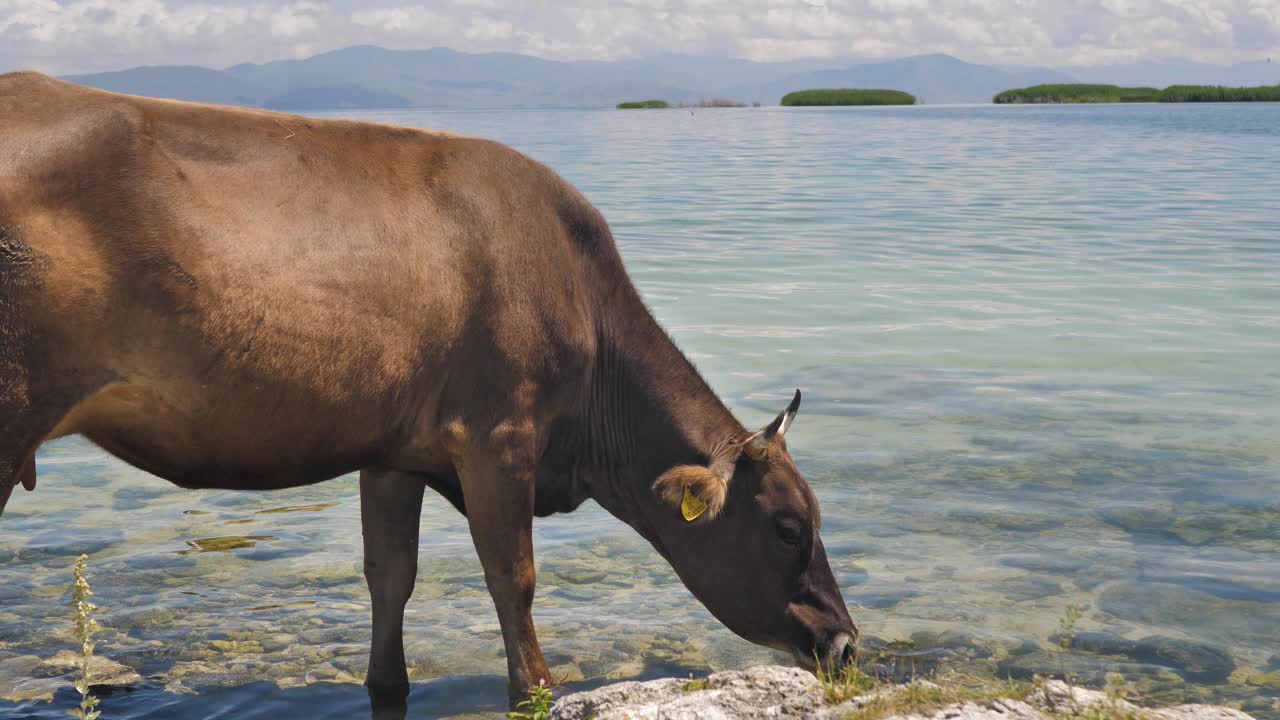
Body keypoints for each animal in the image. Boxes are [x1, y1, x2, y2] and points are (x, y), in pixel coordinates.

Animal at [2, 71, 860, 707]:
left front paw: (389, 682)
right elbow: (513, 577)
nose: (847, 642)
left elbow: (391, 577)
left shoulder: (393, 452)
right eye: (788, 526)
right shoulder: (498, 436)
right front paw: (536, 689)